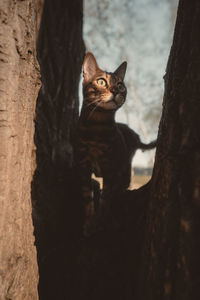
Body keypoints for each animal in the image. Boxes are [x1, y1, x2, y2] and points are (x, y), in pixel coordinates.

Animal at [75, 52, 156, 236]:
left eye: (120, 85)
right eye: (101, 82)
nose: (115, 91)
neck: (97, 128)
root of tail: (136, 135)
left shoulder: (110, 168)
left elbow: (105, 200)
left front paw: (100, 223)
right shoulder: (83, 166)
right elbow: (87, 198)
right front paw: (88, 224)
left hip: (124, 168)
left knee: (119, 190)